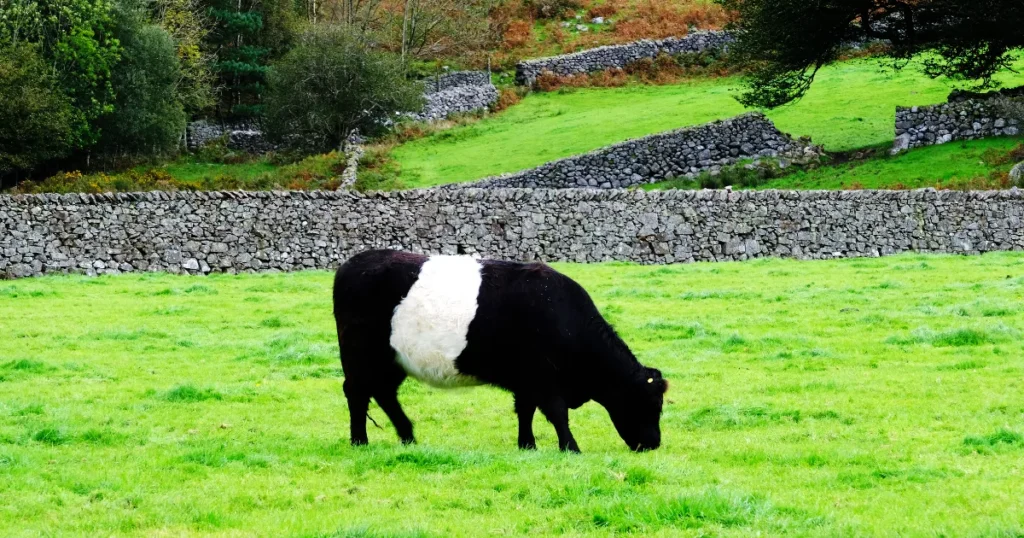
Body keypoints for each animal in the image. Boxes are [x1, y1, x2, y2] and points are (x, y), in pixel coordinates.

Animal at [331, 250, 667, 450]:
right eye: (649, 404)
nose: (653, 443)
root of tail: (352, 263)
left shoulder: (527, 380)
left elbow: (525, 411)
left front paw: (527, 445)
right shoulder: (544, 379)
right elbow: (556, 414)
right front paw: (571, 447)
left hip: (392, 361)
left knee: (384, 394)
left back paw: (408, 435)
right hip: (362, 356)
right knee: (358, 393)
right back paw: (360, 440)